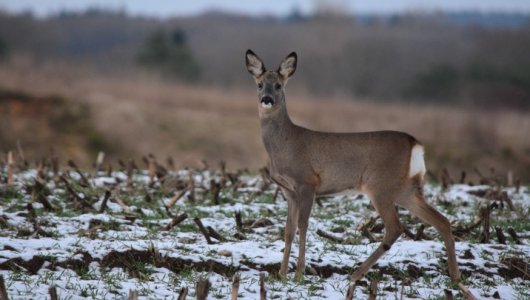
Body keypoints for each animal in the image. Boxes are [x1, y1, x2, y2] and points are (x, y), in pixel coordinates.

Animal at [245, 49, 460, 284]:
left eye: (278, 85)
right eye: (259, 84)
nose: (266, 99)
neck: (286, 144)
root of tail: (415, 143)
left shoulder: (307, 182)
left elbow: (303, 225)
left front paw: (299, 274)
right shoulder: (288, 190)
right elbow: (288, 229)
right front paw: (281, 274)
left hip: (380, 185)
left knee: (396, 227)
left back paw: (356, 274)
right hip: (406, 188)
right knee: (442, 220)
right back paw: (455, 276)